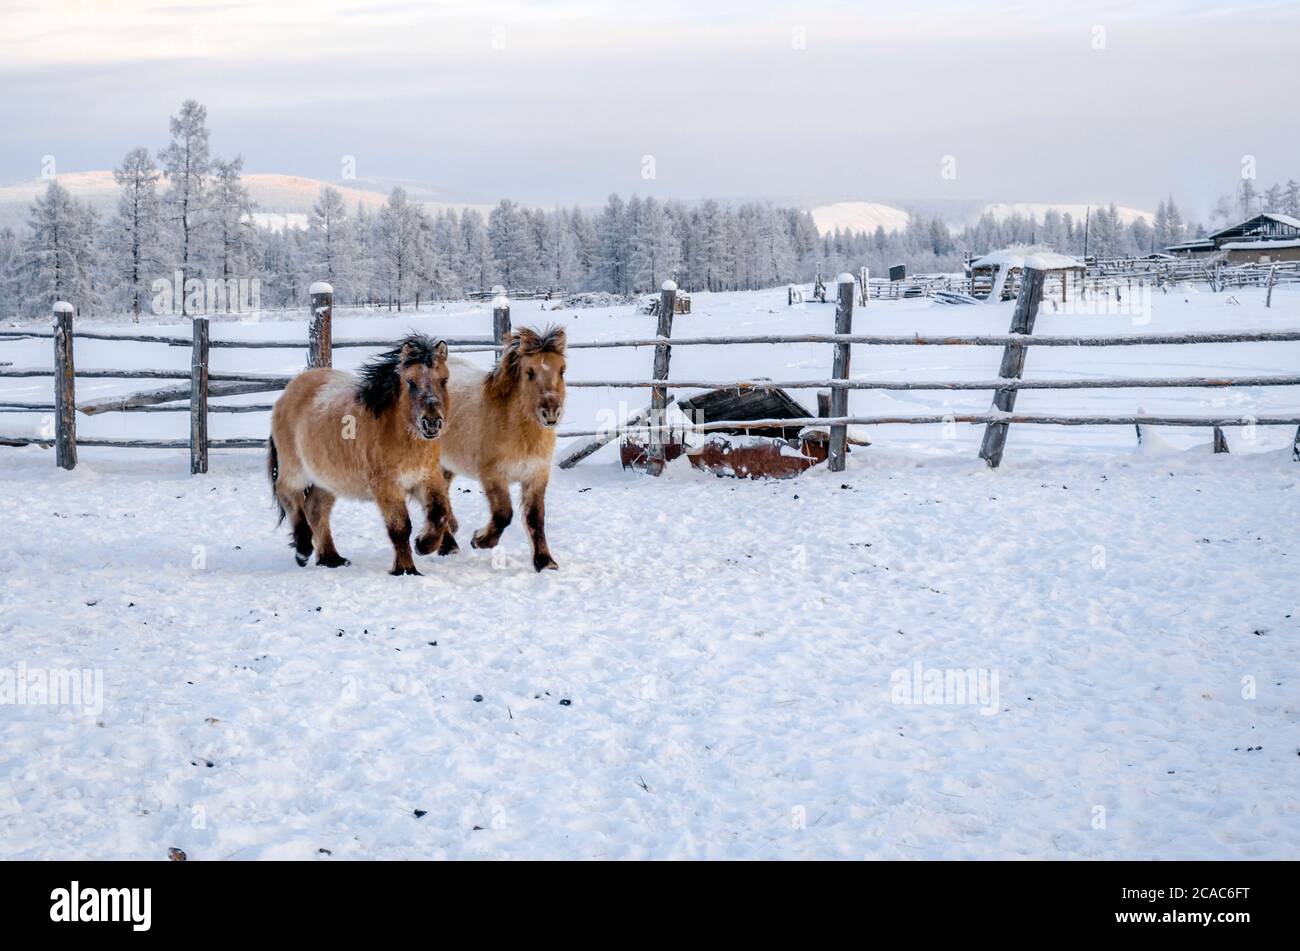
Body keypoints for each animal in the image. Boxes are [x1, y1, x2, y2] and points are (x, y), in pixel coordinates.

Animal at [266, 335, 454, 571]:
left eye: (444, 381)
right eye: (410, 382)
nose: (432, 422)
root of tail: (288, 392)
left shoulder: (427, 478)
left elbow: (439, 514)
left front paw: (424, 545)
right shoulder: (387, 487)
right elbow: (400, 527)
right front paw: (405, 570)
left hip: (327, 480)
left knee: (315, 509)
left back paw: (331, 559)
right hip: (296, 469)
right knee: (288, 493)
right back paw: (303, 550)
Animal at [441, 324, 564, 571]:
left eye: (562, 370)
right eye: (529, 372)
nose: (550, 413)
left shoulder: (536, 475)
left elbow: (536, 518)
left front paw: (545, 562)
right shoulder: (493, 475)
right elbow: (503, 514)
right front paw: (480, 540)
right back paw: (448, 545)